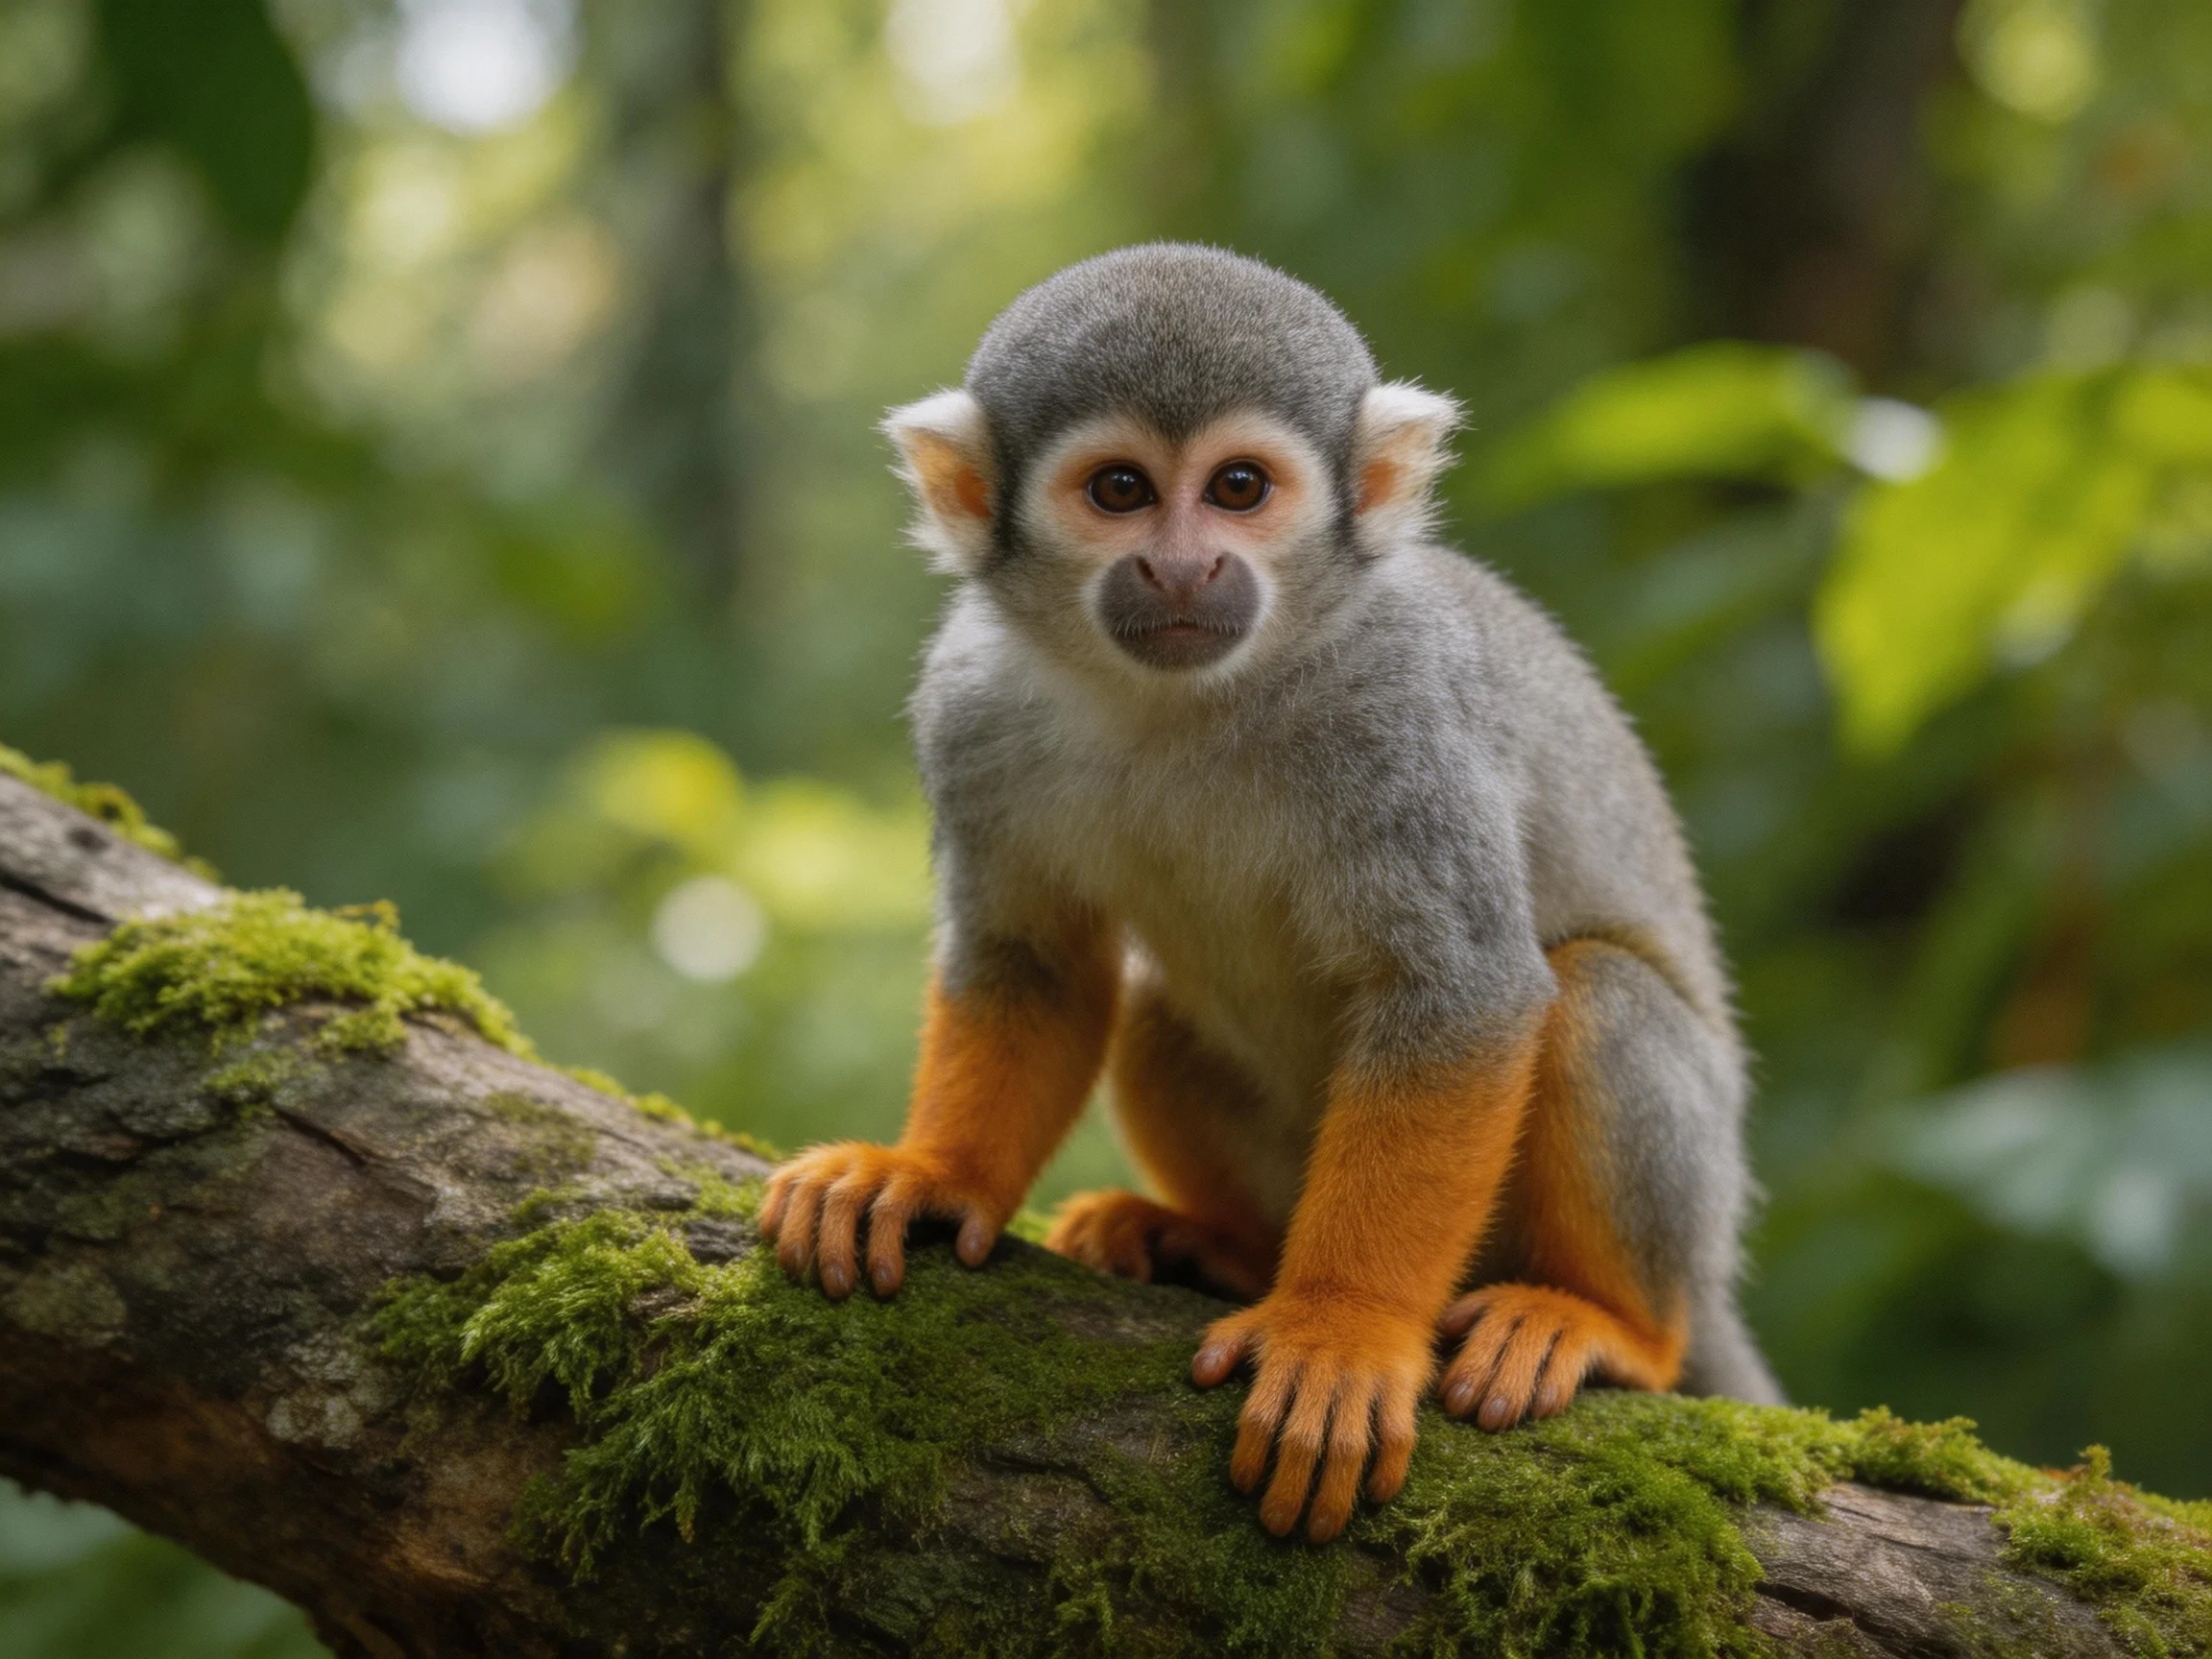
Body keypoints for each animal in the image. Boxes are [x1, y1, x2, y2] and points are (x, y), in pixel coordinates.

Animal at [760, 243, 1783, 1544]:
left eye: (1239, 487)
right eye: (1120, 491)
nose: (1183, 564)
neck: (1191, 697)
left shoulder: (1403, 707)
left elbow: (1461, 994)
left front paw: (1341, 1327)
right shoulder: (968, 701)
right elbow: (1031, 961)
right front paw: (936, 1175)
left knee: (1598, 994)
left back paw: (1613, 1326)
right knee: (1158, 1006)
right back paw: (1224, 1247)